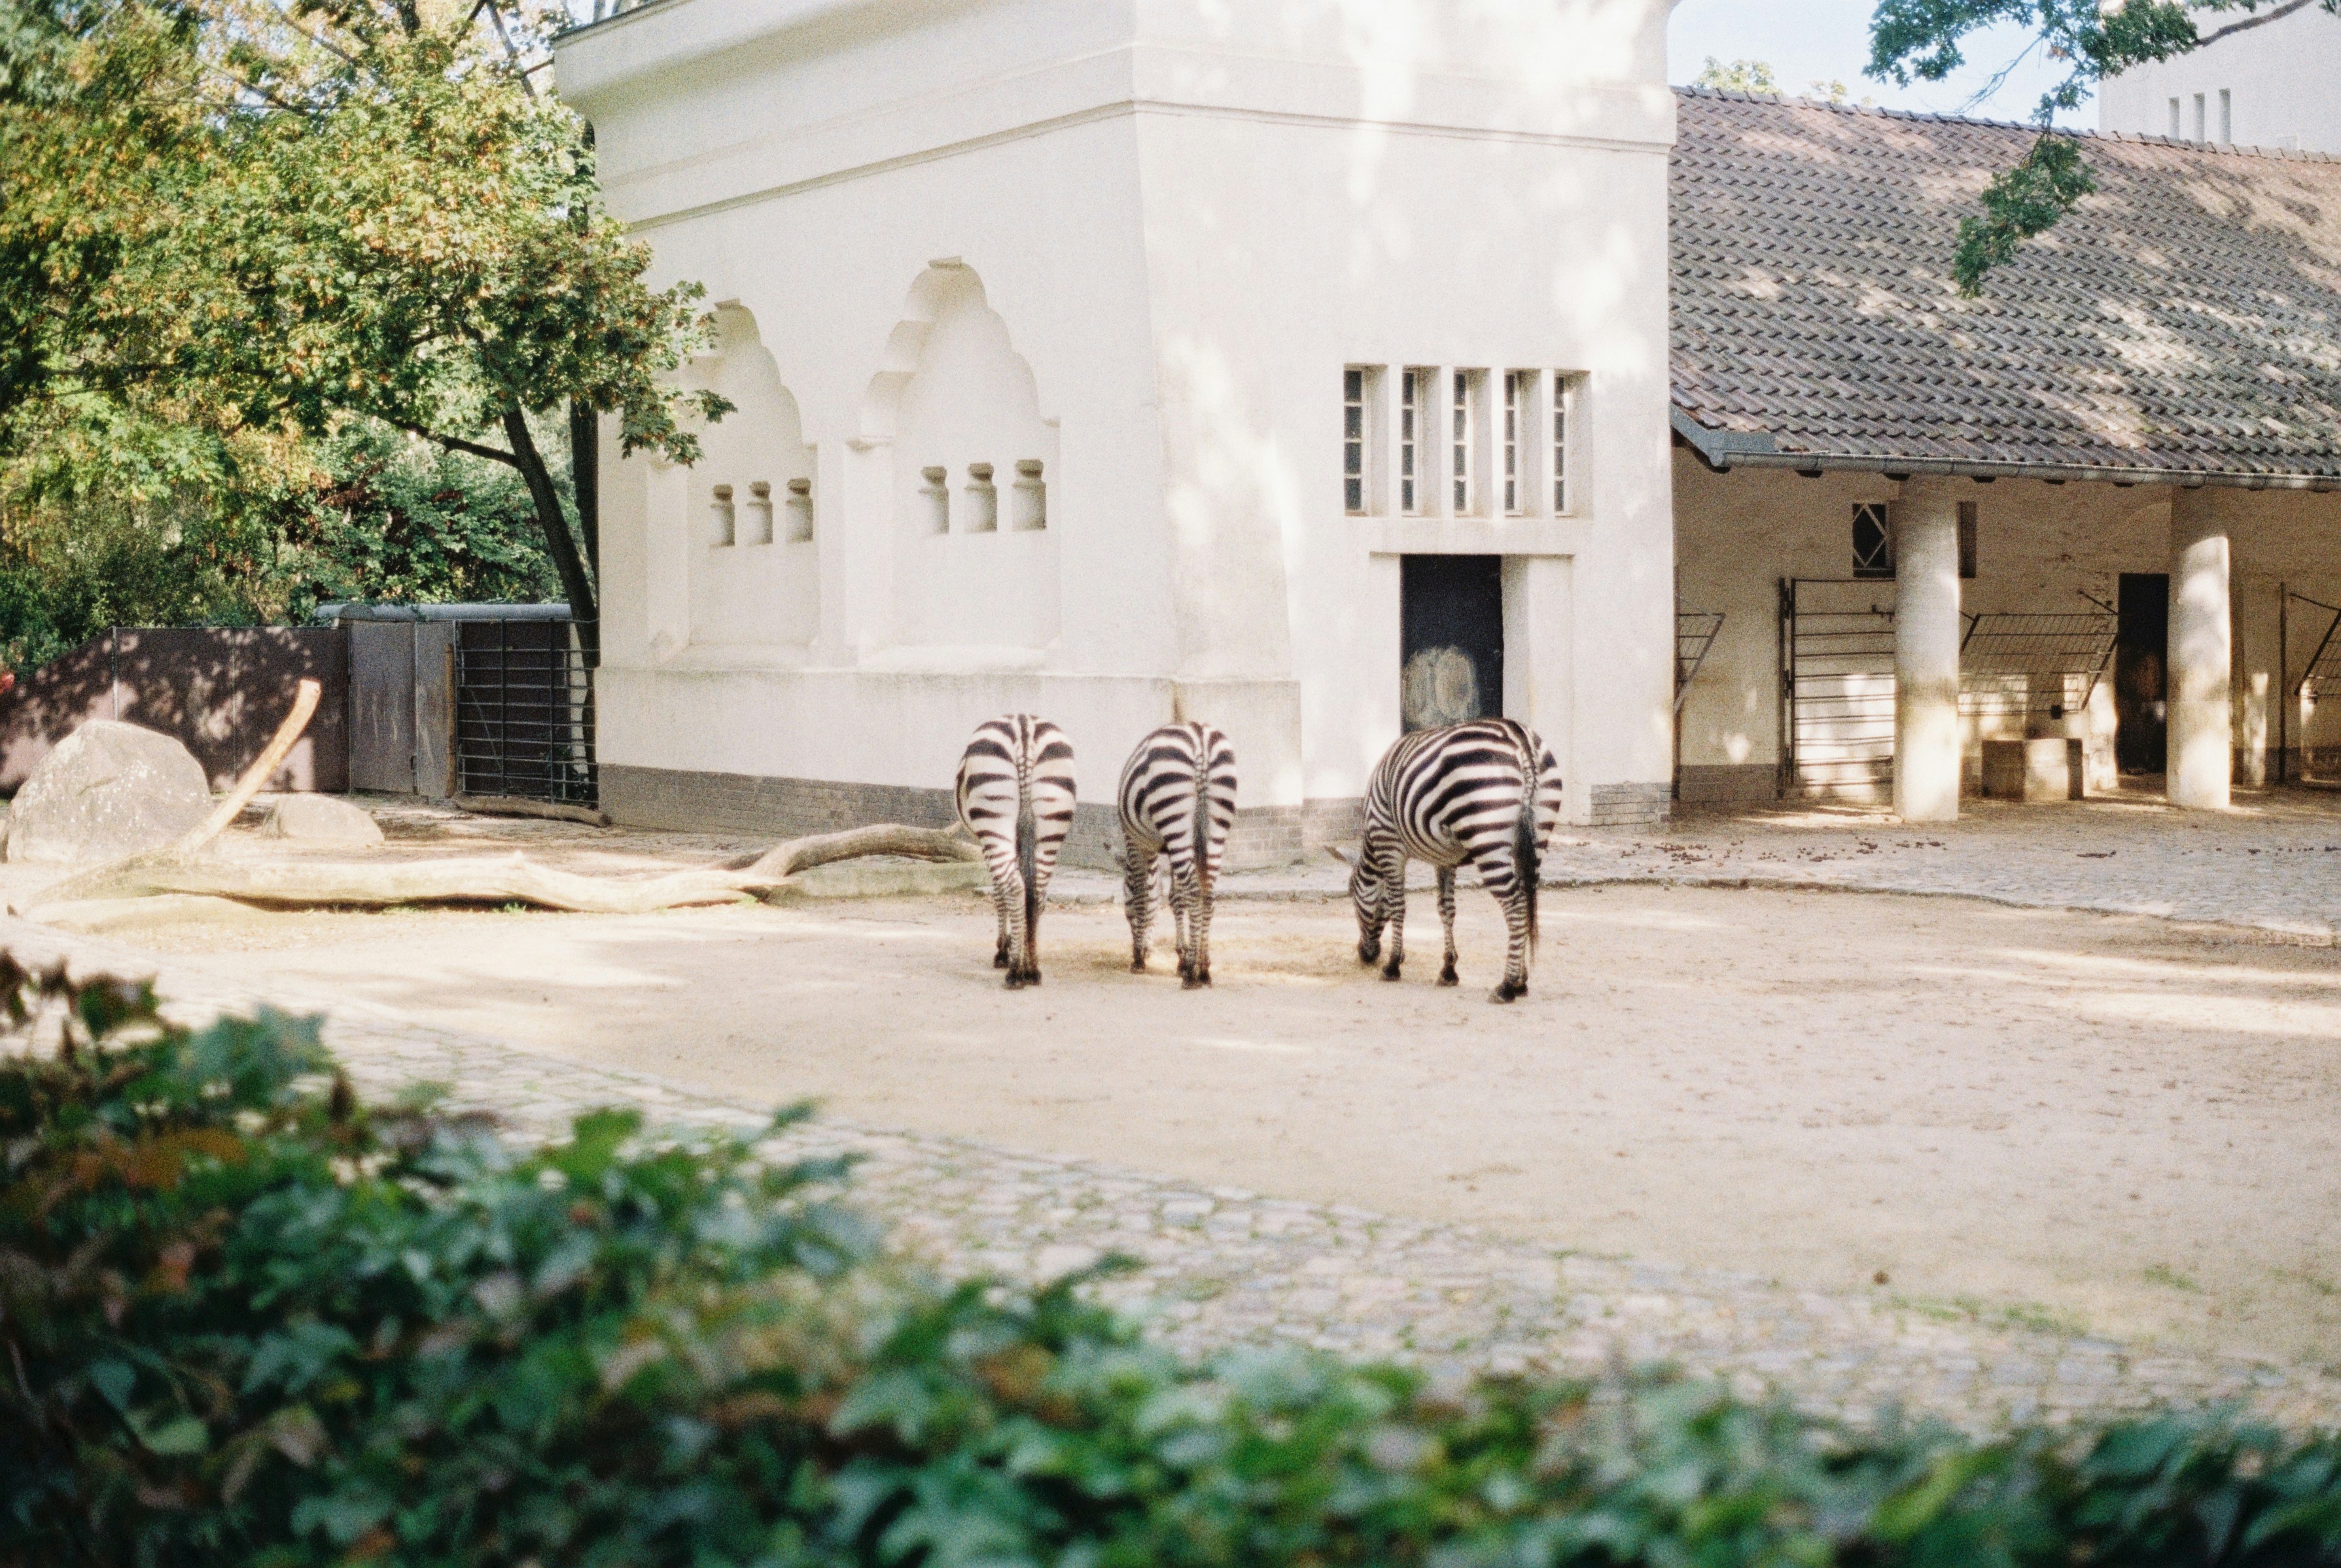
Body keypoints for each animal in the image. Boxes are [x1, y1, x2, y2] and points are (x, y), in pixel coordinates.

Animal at [954, 714, 1076, 988]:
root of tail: (1024, 727)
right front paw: (1013, 946)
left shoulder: (985, 846)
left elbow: (999, 893)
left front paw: (1004, 950)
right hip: (1052, 820)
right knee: (1036, 889)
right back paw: (1032, 968)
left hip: (993, 821)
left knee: (1015, 887)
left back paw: (1015, 972)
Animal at [1116, 722, 1238, 988]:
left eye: (1126, 913)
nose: (1141, 953)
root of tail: (1200, 736)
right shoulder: (1169, 848)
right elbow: (1175, 897)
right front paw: (1182, 957)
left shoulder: (1136, 843)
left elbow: (1143, 896)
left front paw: (1140, 959)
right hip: (1213, 825)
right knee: (1207, 893)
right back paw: (1204, 969)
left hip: (1174, 816)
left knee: (1194, 889)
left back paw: (1193, 973)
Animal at [1334, 718, 1564, 1004]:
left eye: (1353, 895)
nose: (1365, 956)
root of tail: (1519, 737)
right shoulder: (1445, 858)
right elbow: (1446, 909)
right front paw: (1448, 970)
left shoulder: (1389, 844)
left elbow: (1398, 905)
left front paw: (1393, 965)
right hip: (1538, 834)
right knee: (1527, 897)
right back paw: (1521, 982)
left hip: (1487, 835)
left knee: (1516, 905)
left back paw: (1507, 986)